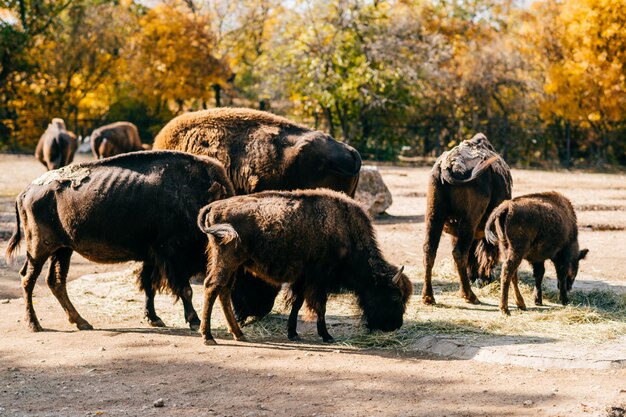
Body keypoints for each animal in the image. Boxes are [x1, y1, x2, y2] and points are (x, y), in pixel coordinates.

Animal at [4, 150, 234, 332]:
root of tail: (25, 192)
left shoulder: (151, 256)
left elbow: (149, 285)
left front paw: (154, 318)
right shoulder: (171, 255)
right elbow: (185, 289)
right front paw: (193, 321)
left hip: (63, 249)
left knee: (55, 281)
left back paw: (82, 322)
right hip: (39, 249)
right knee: (28, 279)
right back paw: (34, 324)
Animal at [195, 189, 410, 344]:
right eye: (394, 296)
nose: (395, 325)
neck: (345, 231)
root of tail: (213, 206)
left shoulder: (302, 279)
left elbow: (297, 303)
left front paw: (293, 333)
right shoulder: (319, 281)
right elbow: (320, 307)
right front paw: (327, 336)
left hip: (232, 264)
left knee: (223, 291)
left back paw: (239, 334)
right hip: (226, 260)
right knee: (212, 286)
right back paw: (208, 337)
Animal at [420, 132, 512, 302]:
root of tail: (450, 165)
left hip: (434, 216)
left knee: (429, 250)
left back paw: (428, 296)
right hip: (469, 221)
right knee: (460, 252)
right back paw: (469, 295)